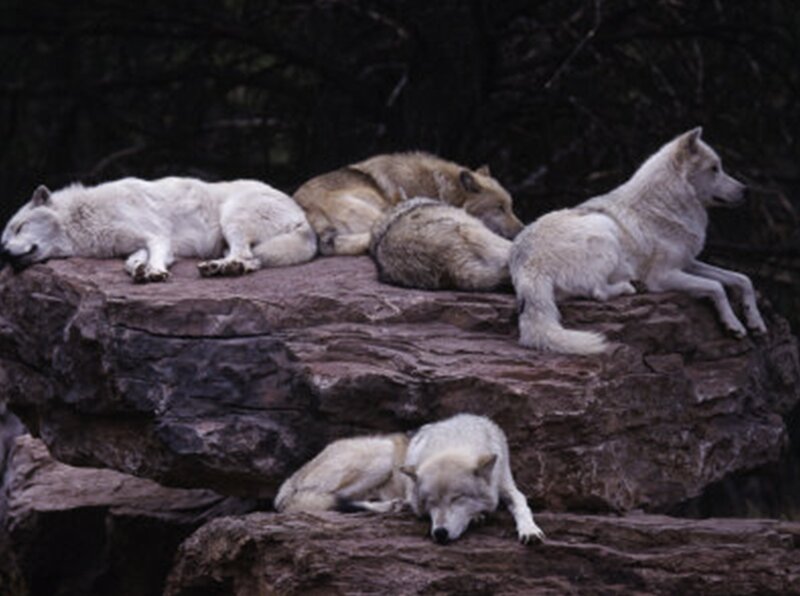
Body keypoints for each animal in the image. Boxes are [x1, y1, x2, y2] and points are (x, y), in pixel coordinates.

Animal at [0, 177, 317, 282]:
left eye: (20, 227)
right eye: (3, 241)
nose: (5, 254)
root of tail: (303, 218)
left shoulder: (156, 236)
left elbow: (155, 256)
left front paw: (153, 272)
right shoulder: (138, 244)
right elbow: (131, 262)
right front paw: (140, 270)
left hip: (232, 219)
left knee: (245, 256)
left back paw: (219, 268)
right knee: (250, 260)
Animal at [401, 413, 544, 545]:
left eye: (456, 498)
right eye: (431, 501)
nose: (440, 533)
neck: (454, 444)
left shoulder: (504, 483)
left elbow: (520, 503)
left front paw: (529, 529)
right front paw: (477, 515)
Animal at [510, 127, 767, 355]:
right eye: (714, 169)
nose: (747, 191)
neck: (665, 206)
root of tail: (526, 263)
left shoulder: (688, 263)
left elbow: (742, 279)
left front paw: (755, 321)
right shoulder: (663, 276)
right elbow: (717, 287)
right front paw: (734, 324)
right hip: (604, 229)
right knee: (598, 292)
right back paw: (629, 286)